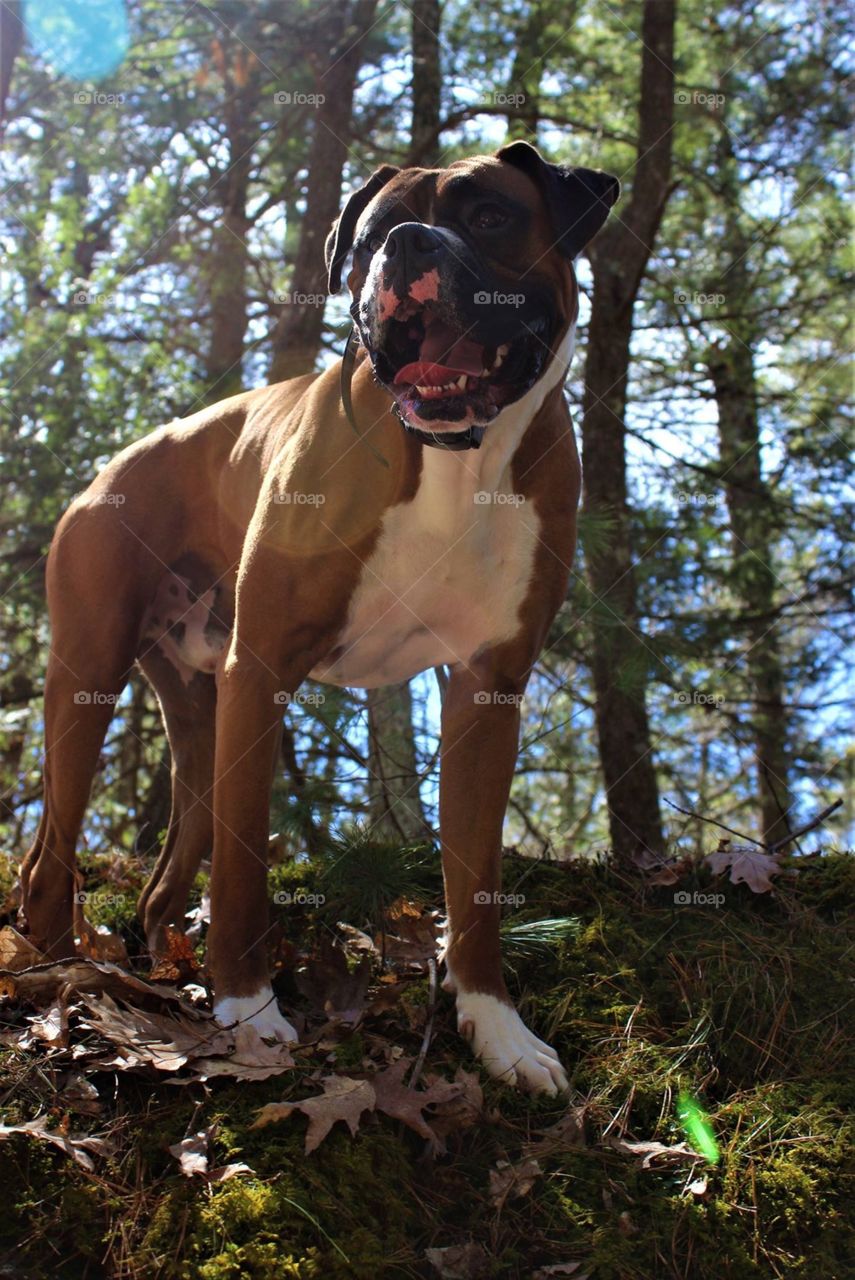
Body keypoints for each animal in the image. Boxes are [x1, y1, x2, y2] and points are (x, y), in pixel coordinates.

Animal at [21, 145, 614, 1095]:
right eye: (371, 235)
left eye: (488, 215)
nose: (406, 245)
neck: (451, 462)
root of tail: (115, 460)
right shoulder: (261, 670)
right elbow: (242, 869)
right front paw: (248, 1011)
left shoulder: (486, 695)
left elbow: (474, 882)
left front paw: (496, 1027)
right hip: (89, 677)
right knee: (52, 855)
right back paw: (50, 974)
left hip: (199, 714)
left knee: (170, 863)